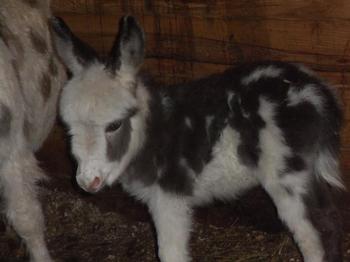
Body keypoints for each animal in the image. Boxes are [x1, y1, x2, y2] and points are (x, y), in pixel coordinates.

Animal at [54, 15, 344, 262]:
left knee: (313, 235)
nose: (87, 182)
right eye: (68, 127)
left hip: (286, 177)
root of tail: (319, 92)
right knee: (328, 218)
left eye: (114, 125)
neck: (151, 132)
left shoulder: (169, 198)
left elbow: (170, 252)